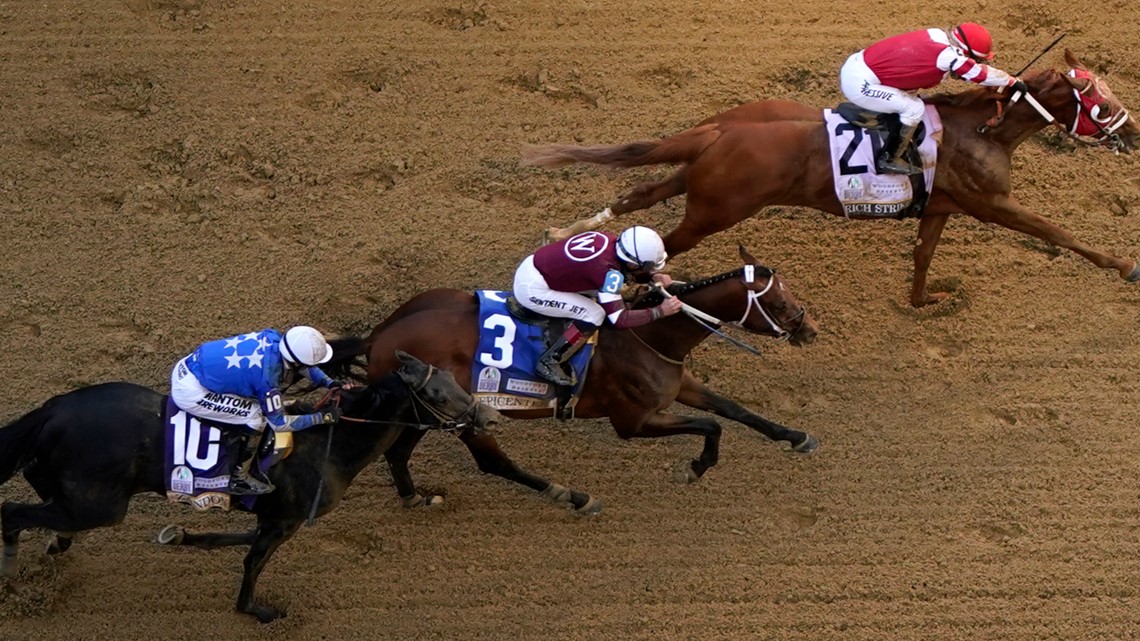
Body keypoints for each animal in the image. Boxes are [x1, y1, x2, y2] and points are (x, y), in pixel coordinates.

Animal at [0, 351, 498, 623]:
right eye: (436, 394)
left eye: (454, 378)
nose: (489, 416)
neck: (329, 446)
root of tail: (55, 409)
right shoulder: (286, 519)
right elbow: (253, 561)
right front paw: (255, 610)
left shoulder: (272, 516)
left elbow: (233, 539)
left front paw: (181, 535)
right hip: (99, 506)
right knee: (12, 512)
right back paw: (12, 571)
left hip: (74, 494)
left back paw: (56, 543)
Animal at [327, 246, 819, 514]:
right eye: (777, 301)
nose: (809, 330)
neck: (649, 336)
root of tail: (379, 336)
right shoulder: (633, 423)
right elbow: (712, 425)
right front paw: (695, 467)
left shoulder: (679, 385)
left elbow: (734, 410)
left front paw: (796, 436)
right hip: (464, 412)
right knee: (493, 463)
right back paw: (572, 496)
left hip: (427, 410)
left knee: (398, 452)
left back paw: (414, 497)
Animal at [524, 50, 1140, 307]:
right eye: (1100, 100)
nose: (1132, 133)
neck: (983, 129)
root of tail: (721, 128)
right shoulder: (992, 204)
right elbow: (1058, 233)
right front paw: (1125, 266)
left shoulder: (942, 207)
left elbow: (923, 255)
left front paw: (923, 301)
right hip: (715, 211)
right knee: (657, 247)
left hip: (694, 183)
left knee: (639, 195)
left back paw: (566, 233)